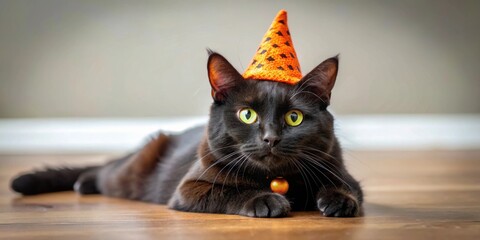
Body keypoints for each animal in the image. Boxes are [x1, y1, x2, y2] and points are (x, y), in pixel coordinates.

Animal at [11, 52, 364, 218]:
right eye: (247, 115)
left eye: (294, 118)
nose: (271, 138)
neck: (277, 179)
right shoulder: (189, 188)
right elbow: (230, 192)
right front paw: (266, 200)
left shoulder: (339, 170)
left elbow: (346, 187)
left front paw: (338, 201)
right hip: (130, 173)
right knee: (107, 168)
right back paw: (83, 183)